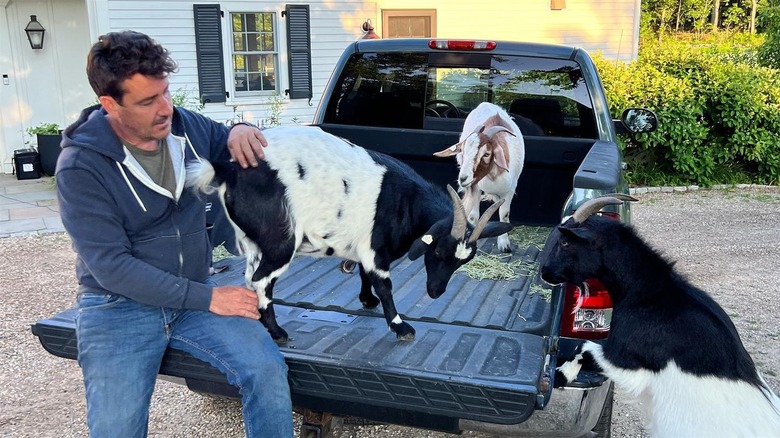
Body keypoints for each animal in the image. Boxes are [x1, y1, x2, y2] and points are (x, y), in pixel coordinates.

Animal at [432, 102, 524, 252]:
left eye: (486, 154)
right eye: (463, 151)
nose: (463, 178)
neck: (493, 175)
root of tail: (485, 103)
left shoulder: (510, 189)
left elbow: (504, 213)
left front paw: (504, 244)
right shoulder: (474, 185)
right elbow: (473, 216)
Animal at [540, 196, 780, 438]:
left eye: (565, 242)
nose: (544, 272)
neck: (651, 294)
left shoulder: (627, 362)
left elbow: (584, 346)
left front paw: (561, 375)